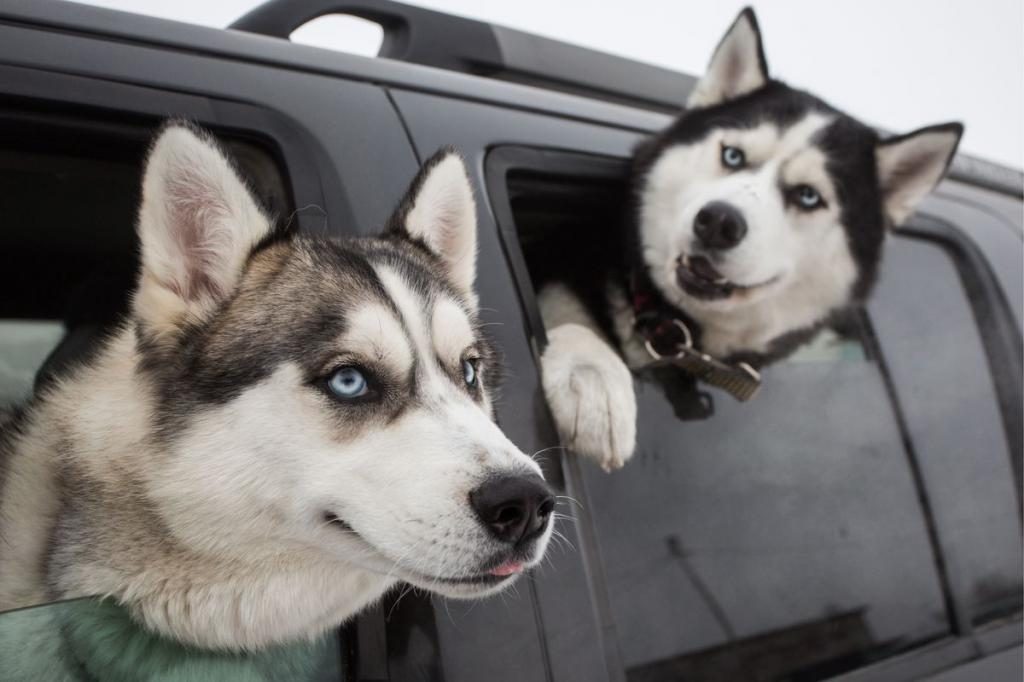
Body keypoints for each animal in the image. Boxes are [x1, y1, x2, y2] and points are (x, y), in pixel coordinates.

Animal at [540, 6, 962, 466]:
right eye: (732, 155)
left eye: (808, 195)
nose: (718, 222)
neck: (677, 331)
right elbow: (565, 307)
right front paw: (590, 374)